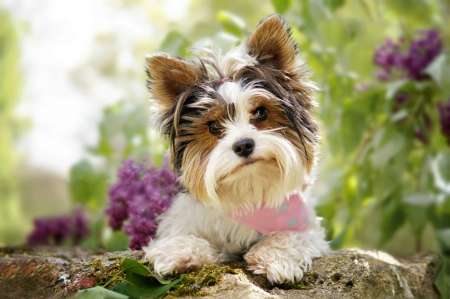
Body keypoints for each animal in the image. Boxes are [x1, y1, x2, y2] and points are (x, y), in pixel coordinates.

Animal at [144, 14, 330, 284]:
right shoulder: (181, 220)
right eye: (213, 126)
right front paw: (177, 252)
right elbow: (185, 238)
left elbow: (296, 236)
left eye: (260, 112)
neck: (247, 189)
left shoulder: (309, 227)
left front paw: (277, 255)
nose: (243, 145)